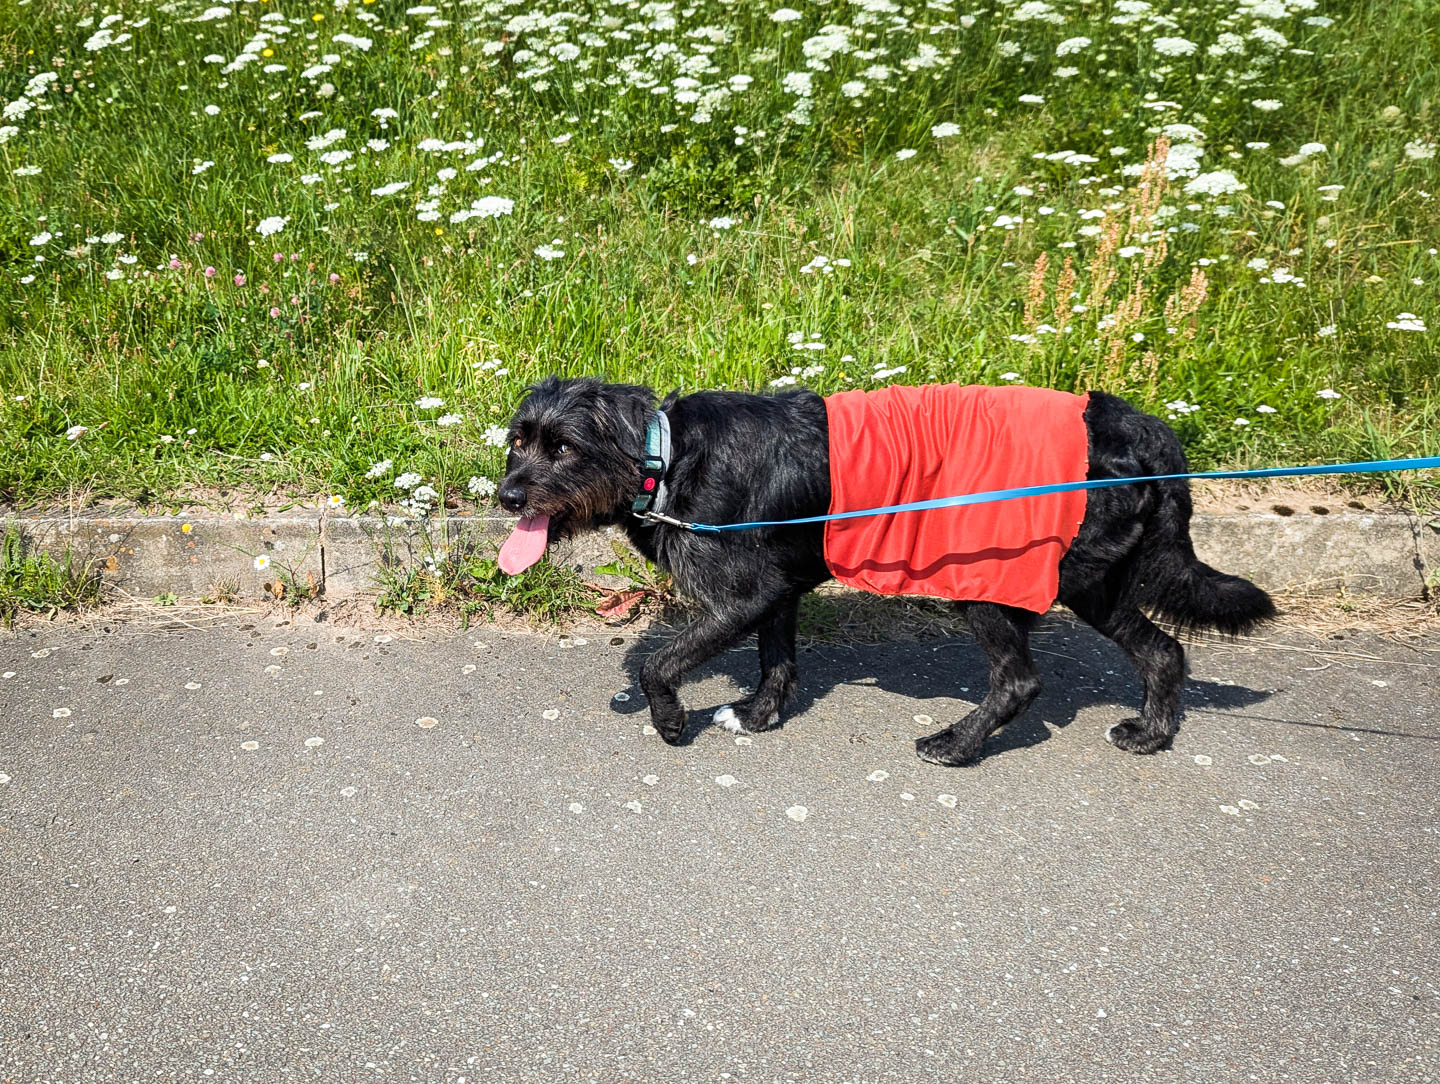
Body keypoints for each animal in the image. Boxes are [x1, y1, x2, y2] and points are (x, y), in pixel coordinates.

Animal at [495, 377, 1272, 765]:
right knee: (1163, 650)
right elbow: (777, 662)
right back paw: (1150, 733)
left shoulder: (740, 597)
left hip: (993, 581)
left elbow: (662, 662)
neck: (664, 454)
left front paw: (669, 721)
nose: (506, 496)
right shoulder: (777, 594)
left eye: (563, 448)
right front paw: (760, 715)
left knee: (1020, 680)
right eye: (518, 440)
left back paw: (957, 746)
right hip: (1094, 583)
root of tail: (1144, 429)